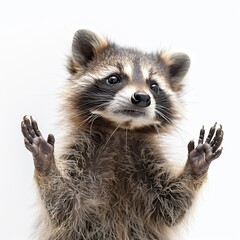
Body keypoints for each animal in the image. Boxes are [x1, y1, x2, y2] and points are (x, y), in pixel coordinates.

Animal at [21, 29, 223, 239]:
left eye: (154, 86)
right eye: (114, 79)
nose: (142, 98)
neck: (121, 130)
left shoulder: (148, 161)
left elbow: (171, 206)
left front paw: (196, 165)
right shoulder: (81, 153)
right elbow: (62, 204)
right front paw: (45, 161)